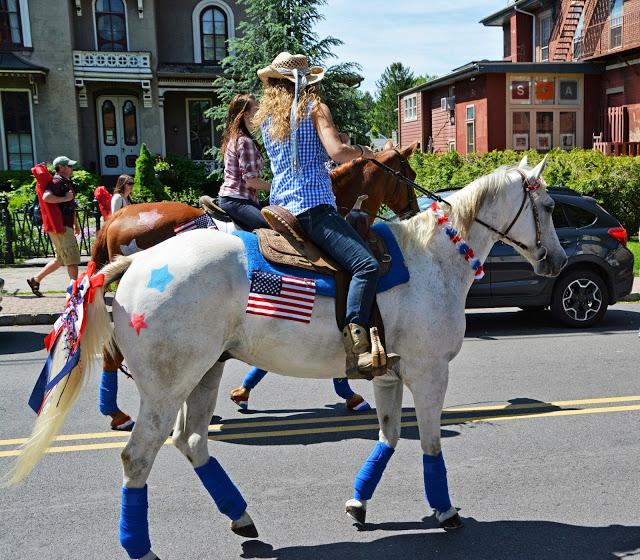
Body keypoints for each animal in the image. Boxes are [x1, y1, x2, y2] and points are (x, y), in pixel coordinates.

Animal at [91, 145, 420, 428]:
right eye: (411, 176)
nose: (413, 210)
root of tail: (117, 217)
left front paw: (242, 393)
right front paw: (351, 394)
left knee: (113, 353)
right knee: (114, 355)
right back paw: (119, 414)